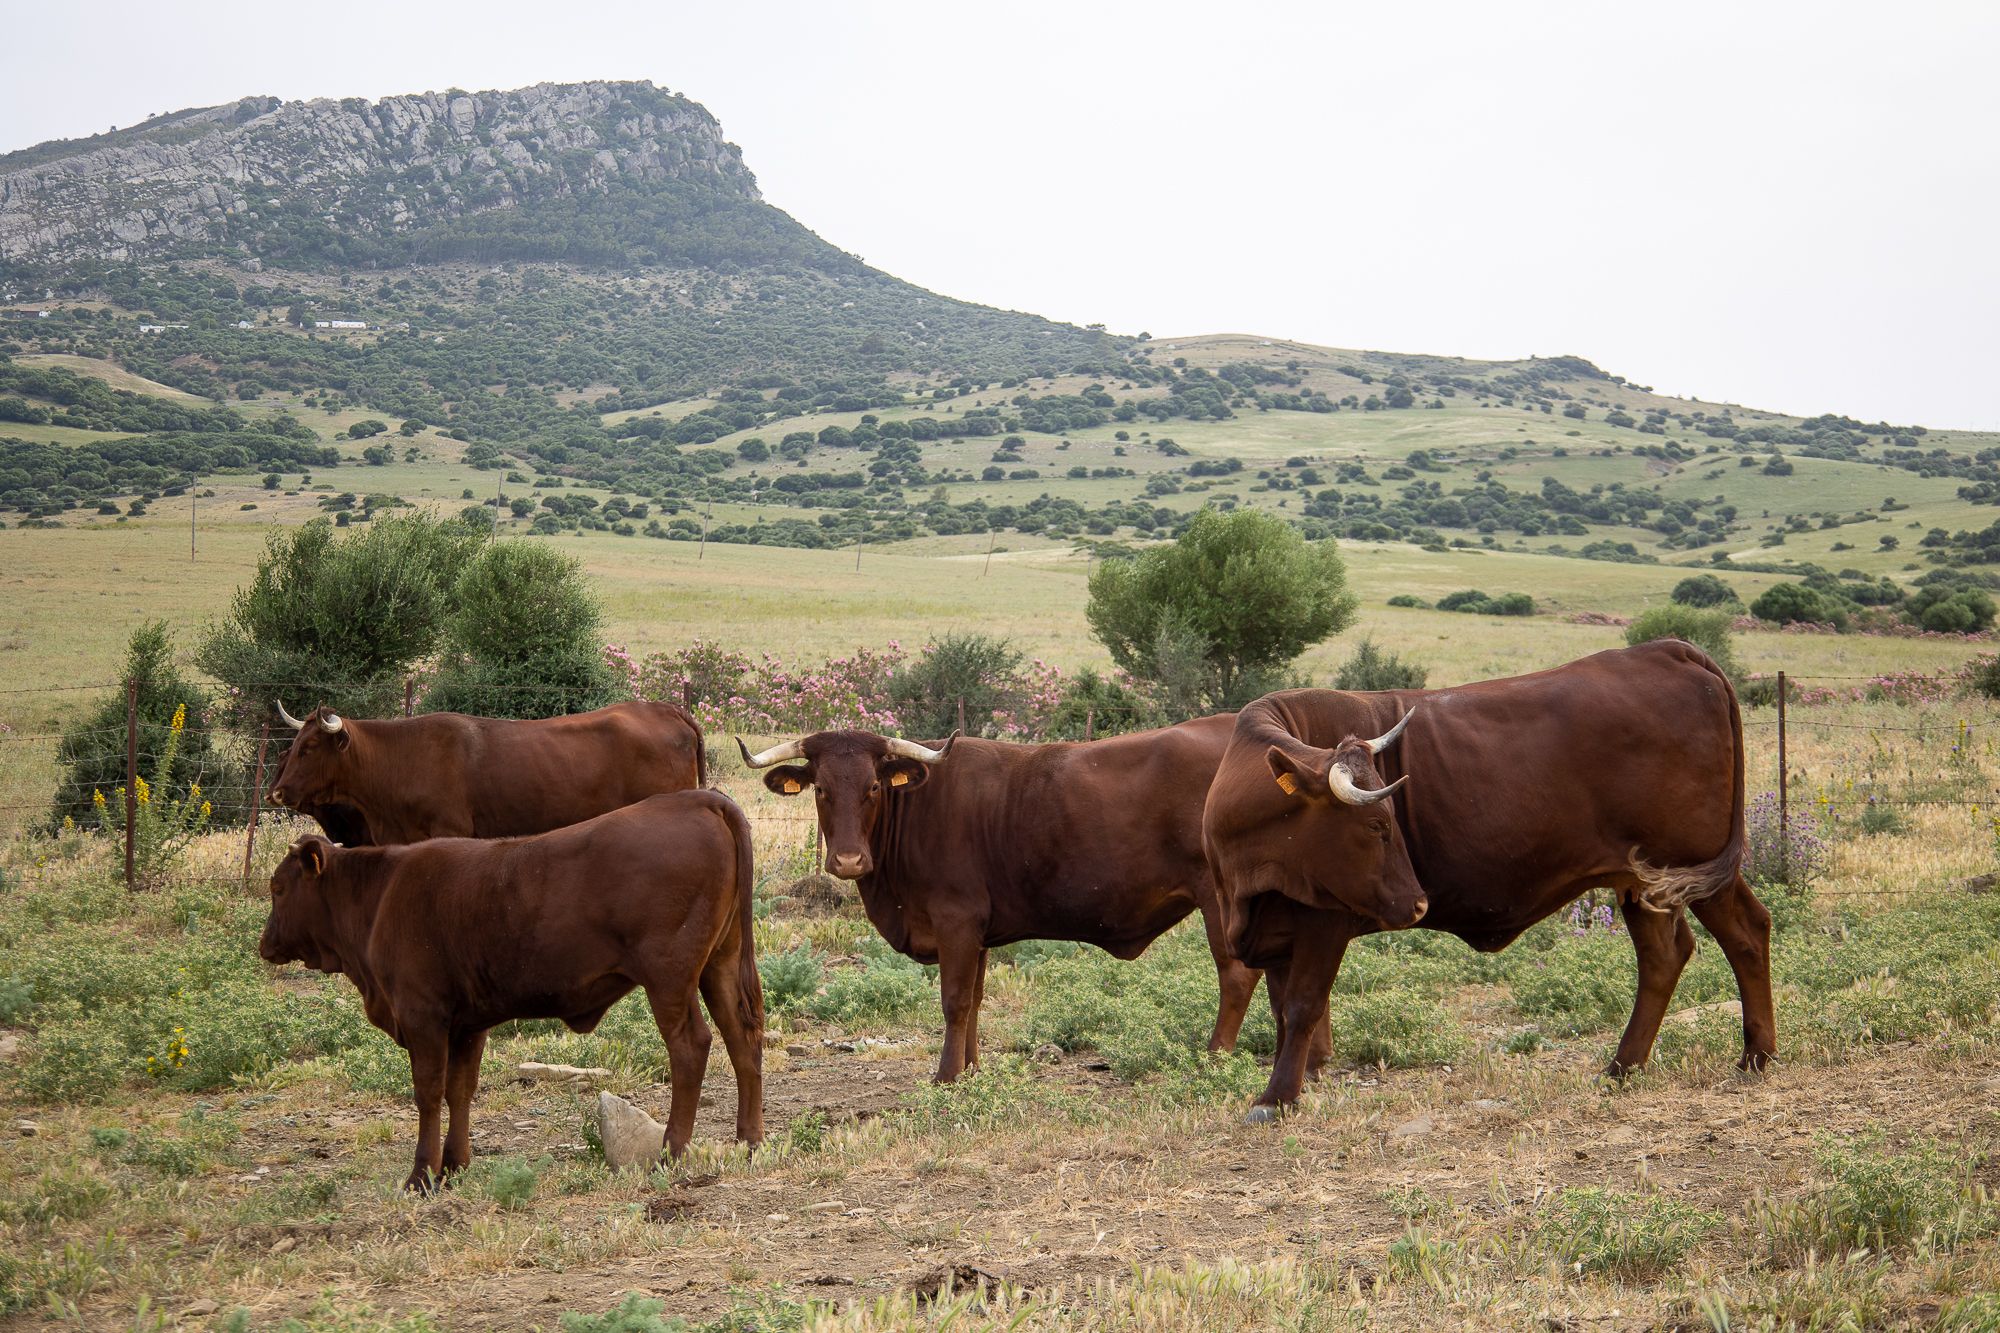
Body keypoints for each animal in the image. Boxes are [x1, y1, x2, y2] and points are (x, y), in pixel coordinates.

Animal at [257, 789, 764, 1191]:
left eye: (278, 887)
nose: (265, 945)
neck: (379, 896)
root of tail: (696, 798)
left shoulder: (423, 1016)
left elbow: (428, 1092)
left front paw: (421, 1176)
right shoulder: (467, 1024)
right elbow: (460, 1090)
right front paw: (453, 1166)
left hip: (669, 977)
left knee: (691, 1046)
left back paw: (671, 1152)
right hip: (720, 964)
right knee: (742, 1038)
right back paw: (749, 1141)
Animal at [738, 718, 1261, 1084]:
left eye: (872, 787)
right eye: (821, 789)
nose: (848, 861)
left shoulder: (955, 921)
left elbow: (953, 1000)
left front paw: (946, 1076)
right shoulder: (979, 933)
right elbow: (974, 999)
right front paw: (971, 1069)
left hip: (1219, 898)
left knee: (1236, 974)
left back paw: (1215, 1057)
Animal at [1201, 640, 1773, 1123]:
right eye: (1376, 825)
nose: (1418, 905)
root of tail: (1669, 650)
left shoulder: (1326, 919)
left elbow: (1302, 1007)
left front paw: (1275, 1099)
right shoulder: (1277, 930)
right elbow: (1281, 1011)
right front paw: (1292, 1089)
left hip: (1693, 868)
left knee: (1744, 933)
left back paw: (1755, 1055)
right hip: (1643, 880)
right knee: (1666, 955)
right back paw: (1625, 1067)